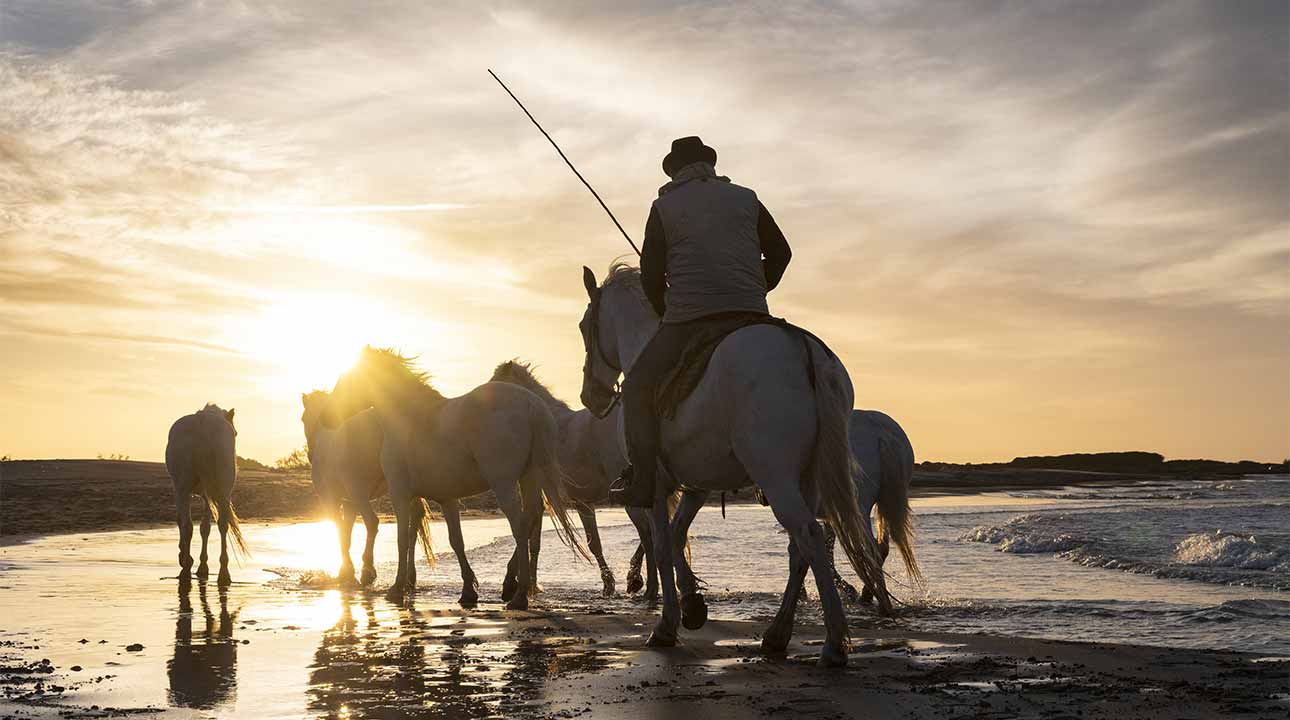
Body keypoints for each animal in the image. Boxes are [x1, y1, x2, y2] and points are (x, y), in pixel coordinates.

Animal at [165, 402, 247, 590]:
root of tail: (202, 423)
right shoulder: (207, 495)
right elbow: (205, 528)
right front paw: (201, 565)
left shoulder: (193, 493)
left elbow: (191, 524)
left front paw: (189, 559)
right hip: (220, 490)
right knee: (222, 524)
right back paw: (223, 573)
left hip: (184, 489)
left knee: (187, 525)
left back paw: (187, 566)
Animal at [322, 348, 590, 606]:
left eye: (347, 380)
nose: (328, 417)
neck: (410, 417)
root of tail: (532, 406)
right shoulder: (447, 499)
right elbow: (456, 541)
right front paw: (468, 590)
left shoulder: (400, 494)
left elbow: (402, 539)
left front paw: (397, 588)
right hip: (529, 478)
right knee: (531, 517)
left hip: (503, 484)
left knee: (520, 526)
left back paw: (519, 594)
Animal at [577, 264, 887, 665]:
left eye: (584, 326)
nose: (591, 395)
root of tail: (803, 348)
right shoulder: (697, 484)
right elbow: (677, 535)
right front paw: (693, 605)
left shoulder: (656, 484)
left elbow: (661, 545)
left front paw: (667, 624)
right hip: (808, 478)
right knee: (799, 550)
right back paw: (777, 633)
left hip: (775, 476)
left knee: (809, 535)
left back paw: (833, 643)